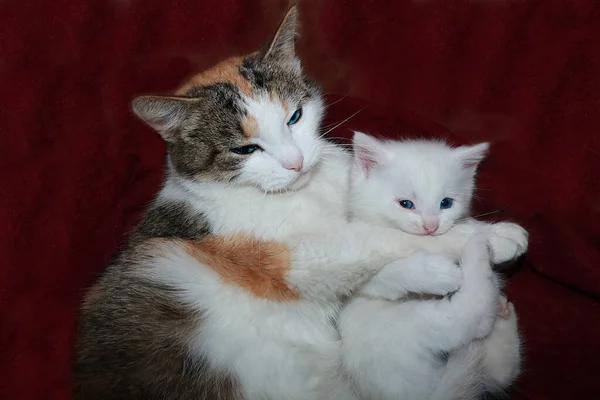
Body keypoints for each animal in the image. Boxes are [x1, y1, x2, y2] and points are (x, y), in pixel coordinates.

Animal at [340, 132, 524, 400]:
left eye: (446, 203)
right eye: (406, 204)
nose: (430, 226)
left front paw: (499, 232)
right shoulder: (362, 270)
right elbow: (394, 268)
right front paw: (496, 240)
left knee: (497, 376)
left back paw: (503, 315)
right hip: (405, 326)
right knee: (467, 317)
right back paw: (478, 250)